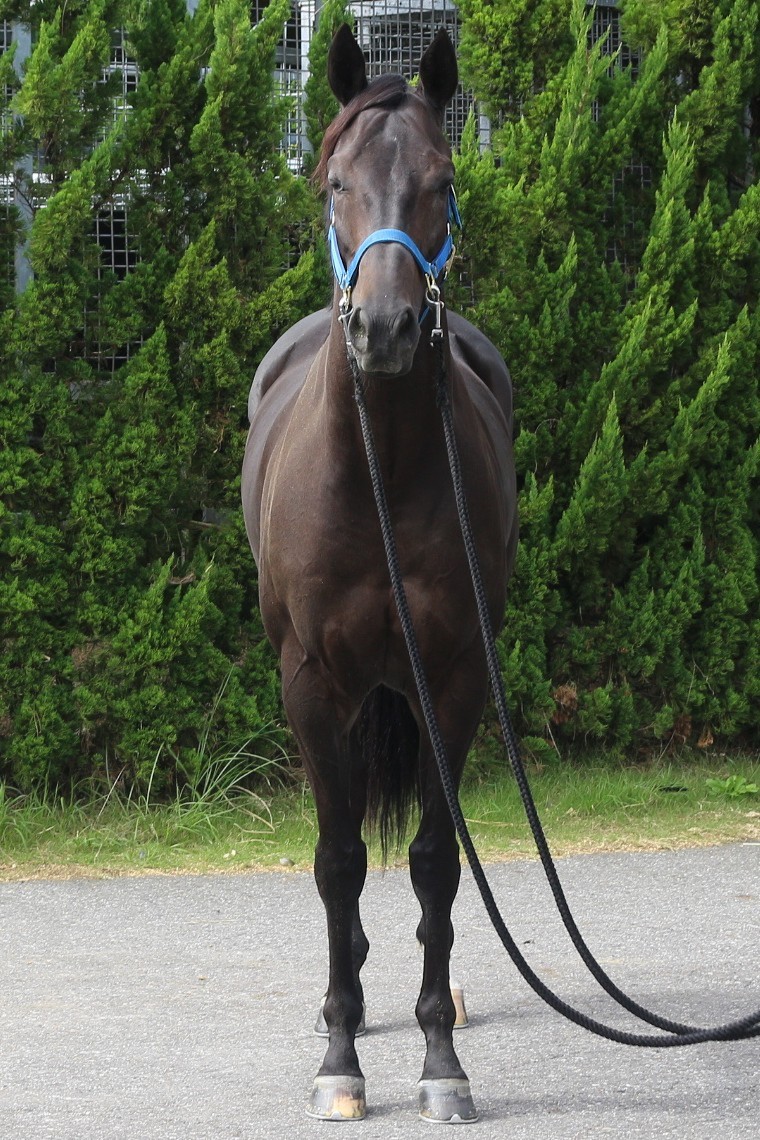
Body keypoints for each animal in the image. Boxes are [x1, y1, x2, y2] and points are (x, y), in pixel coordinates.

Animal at [241, 24, 517, 1123]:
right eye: (335, 182)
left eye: (441, 182)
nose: (387, 329)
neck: (380, 476)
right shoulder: (313, 684)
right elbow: (339, 858)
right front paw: (341, 1058)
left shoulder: (453, 679)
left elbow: (435, 863)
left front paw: (441, 1061)